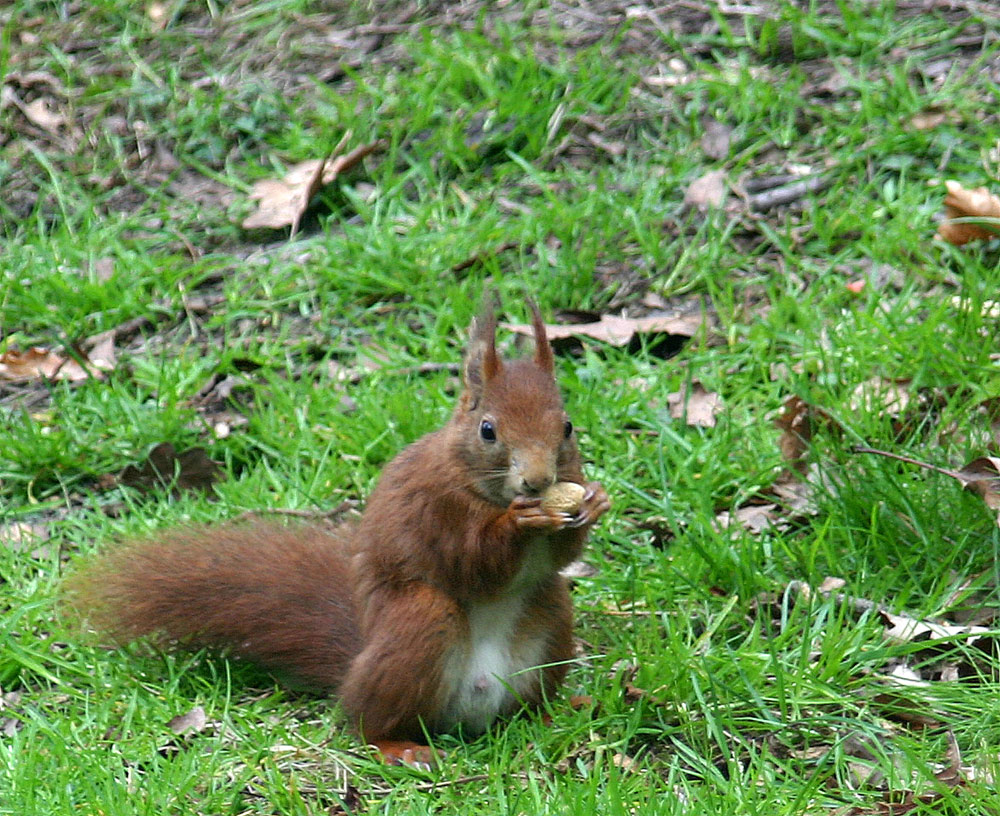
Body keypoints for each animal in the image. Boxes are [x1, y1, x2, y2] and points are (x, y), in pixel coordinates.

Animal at [66, 302, 608, 768]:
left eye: (567, 426)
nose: (537, 481)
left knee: (526, 692)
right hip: (417, 627)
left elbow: (560, 554)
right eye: (488, 430)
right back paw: (397, 745)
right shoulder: (432, 508)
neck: (481, 485)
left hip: (551, 616)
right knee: (362, 720)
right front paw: (519, 522)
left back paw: (560, 710)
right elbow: (470, 561)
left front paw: (594, 502)